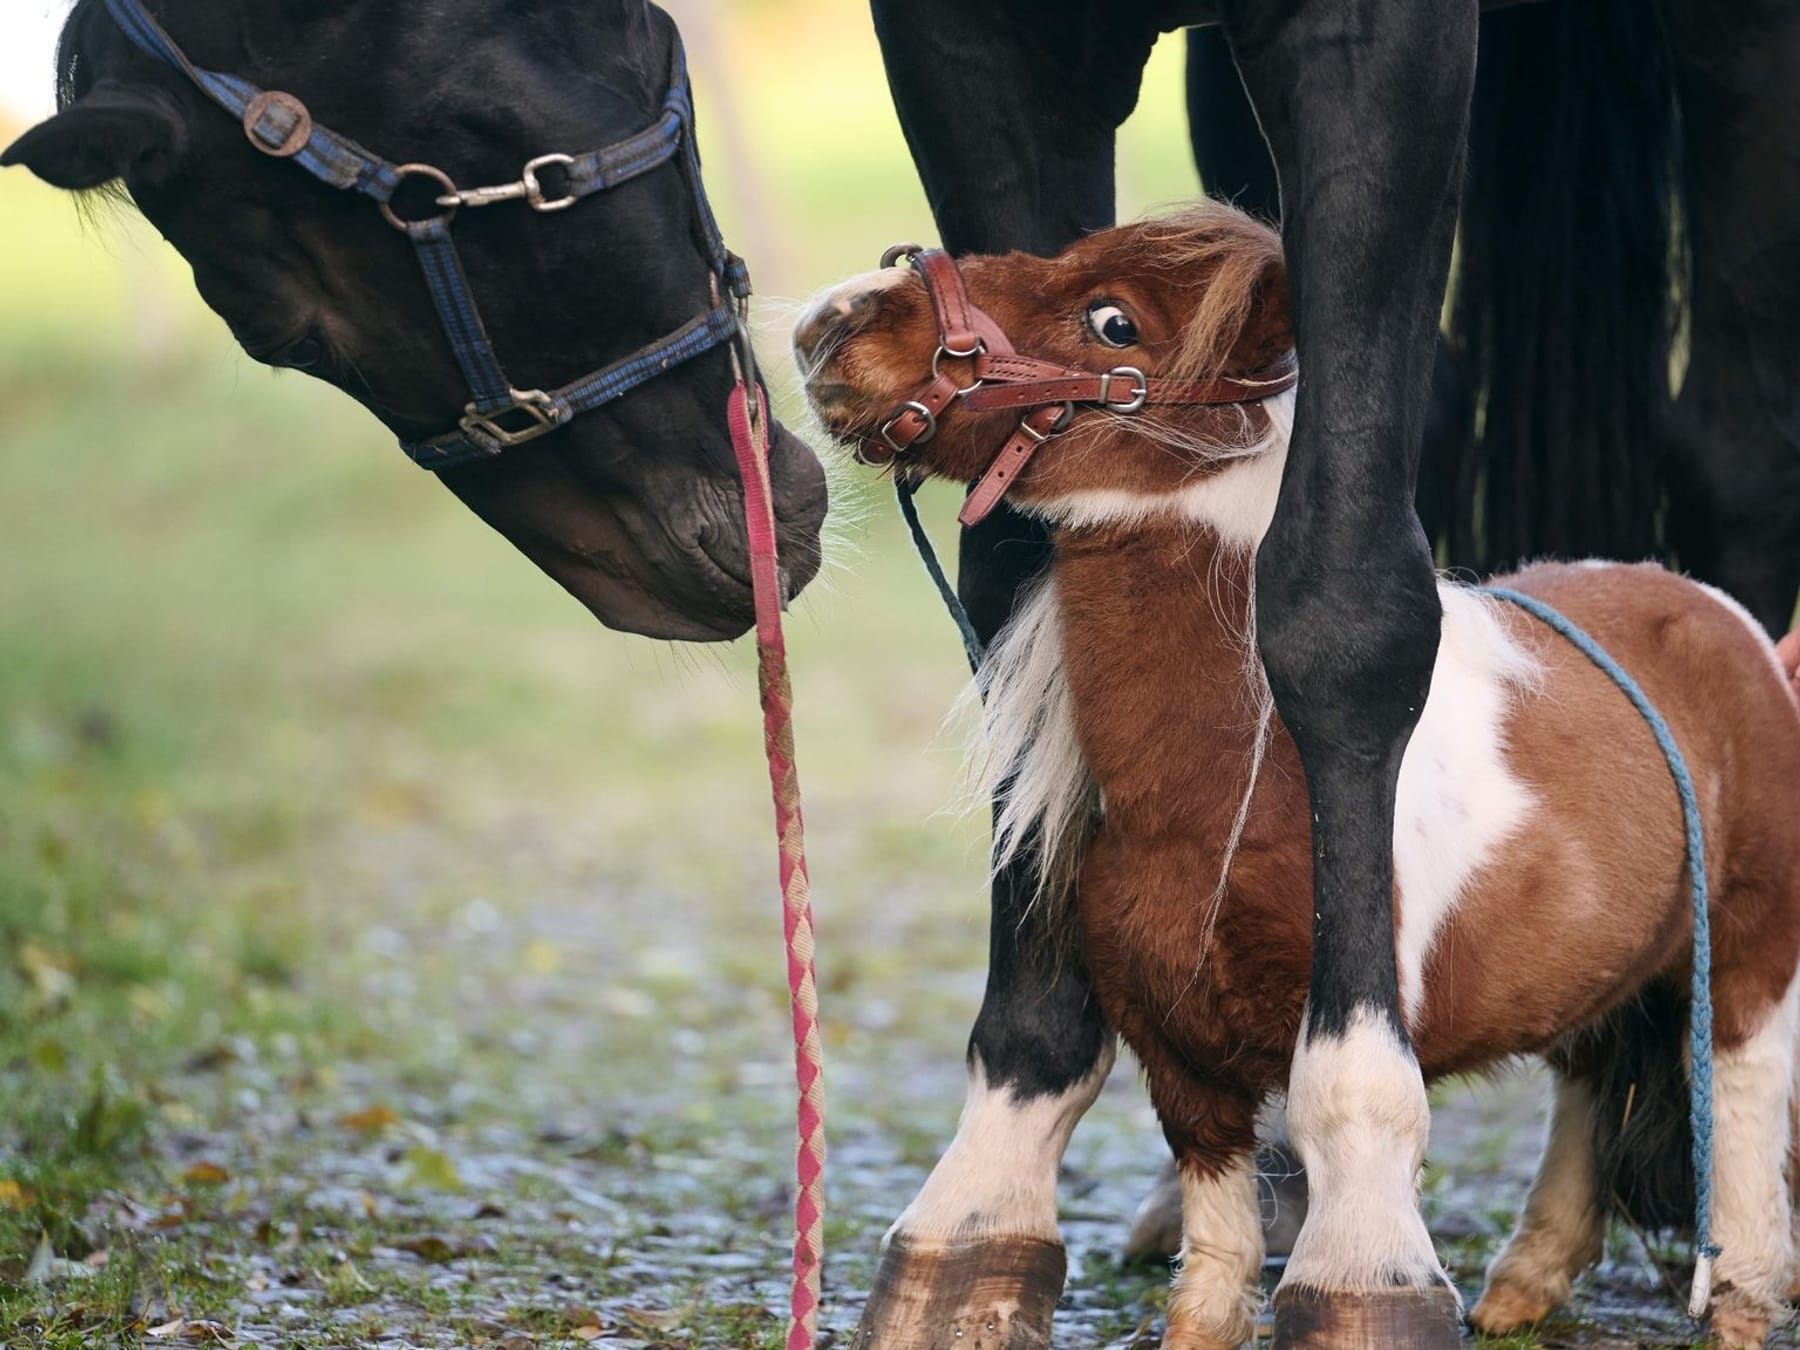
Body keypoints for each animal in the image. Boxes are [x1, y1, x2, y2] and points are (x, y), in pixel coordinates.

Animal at [853, 2, 1800, 1350]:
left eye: (1112, 322)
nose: (838, 324)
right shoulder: (975, 43)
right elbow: (1005, 582)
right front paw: (981, 1219)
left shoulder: (1383, 47)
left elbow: (1346, 596)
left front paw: (1362, 1247)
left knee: (1738, 454)